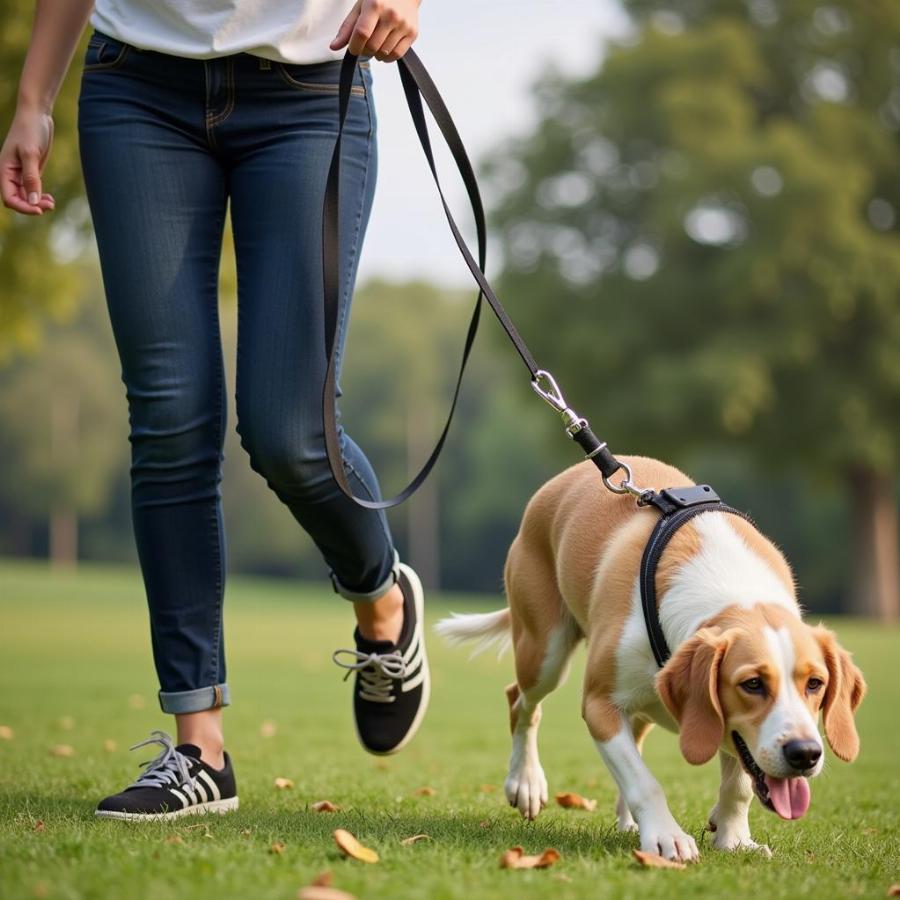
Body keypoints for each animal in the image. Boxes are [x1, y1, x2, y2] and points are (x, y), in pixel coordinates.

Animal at [436, 458, 864, 864]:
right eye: (752, 684)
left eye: (815, 684)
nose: (805, 753)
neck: (733, 595)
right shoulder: (600, 705)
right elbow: (645, 782)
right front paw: (666, 836)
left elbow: (738, 783)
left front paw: (734, 839)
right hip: (545, 651)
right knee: (520, 701)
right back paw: (526, 782)